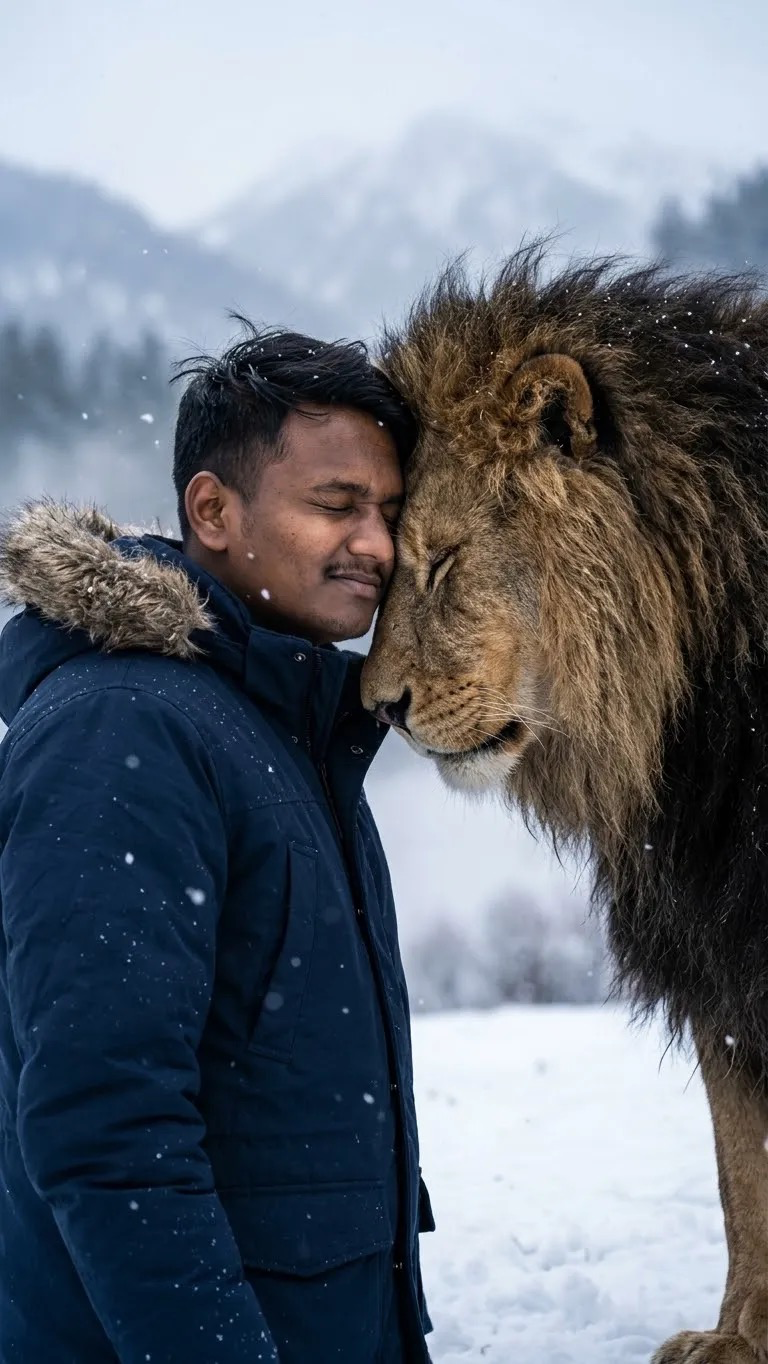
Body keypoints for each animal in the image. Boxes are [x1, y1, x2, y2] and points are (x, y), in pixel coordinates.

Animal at [361, 245, 768, 1364]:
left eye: (443, 558)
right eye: (376, 567)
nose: (381, 707)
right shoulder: (710, 942)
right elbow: (743, 1174)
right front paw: (737, 1338)